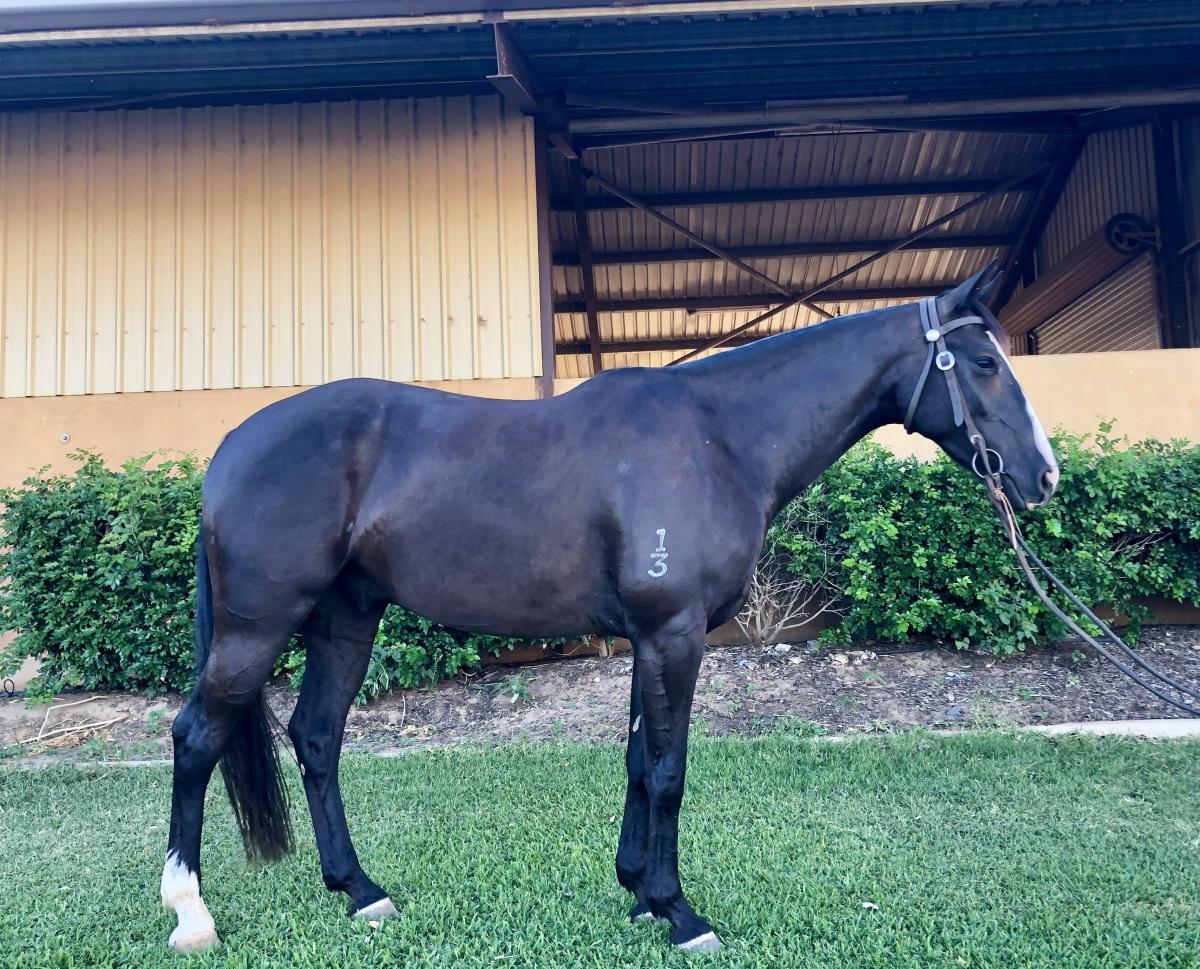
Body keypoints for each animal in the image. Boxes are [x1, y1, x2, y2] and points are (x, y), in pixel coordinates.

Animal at [161, 261, 1059, 954]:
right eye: (984, 362)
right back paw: (192, 913)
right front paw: (680, 911)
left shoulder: (648, 637)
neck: (719, 436)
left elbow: (636, 760)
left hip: (347, 619)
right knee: (197, 736)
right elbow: (668, 770)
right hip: (254, 629)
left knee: (317, 737)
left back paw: (359, 889)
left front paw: (637, 891)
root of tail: (231, 447)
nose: (1044, 475)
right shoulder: (675, 633)